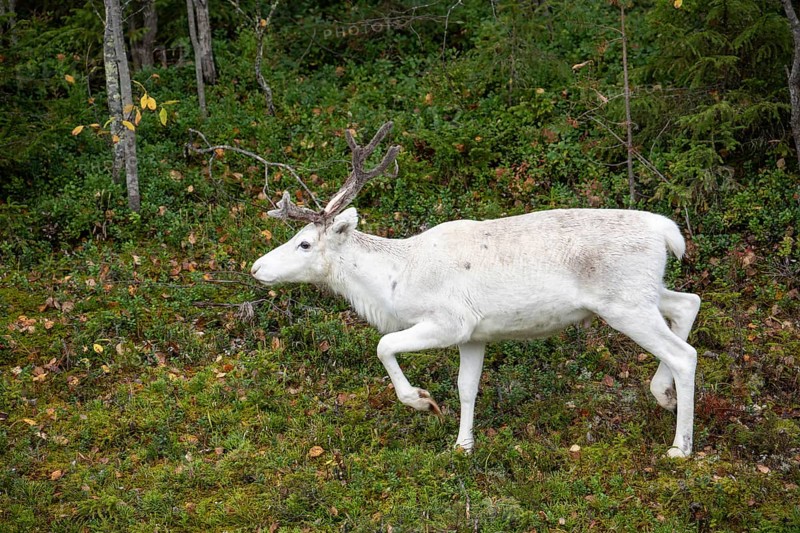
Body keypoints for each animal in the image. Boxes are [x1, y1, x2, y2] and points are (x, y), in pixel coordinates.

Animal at [250, 122, 701, 458]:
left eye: (304, 244)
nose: (256, 268)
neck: (394, 282)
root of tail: (666, 231)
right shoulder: (475, 334)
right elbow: (467, 388)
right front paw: (463, 445)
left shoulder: (451, 321)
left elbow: (383, 345)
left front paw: (423, 401)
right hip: (644, 291)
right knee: (687, 303)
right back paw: (663, 395)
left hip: (625, 303)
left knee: (684, 354)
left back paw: (680, 448)